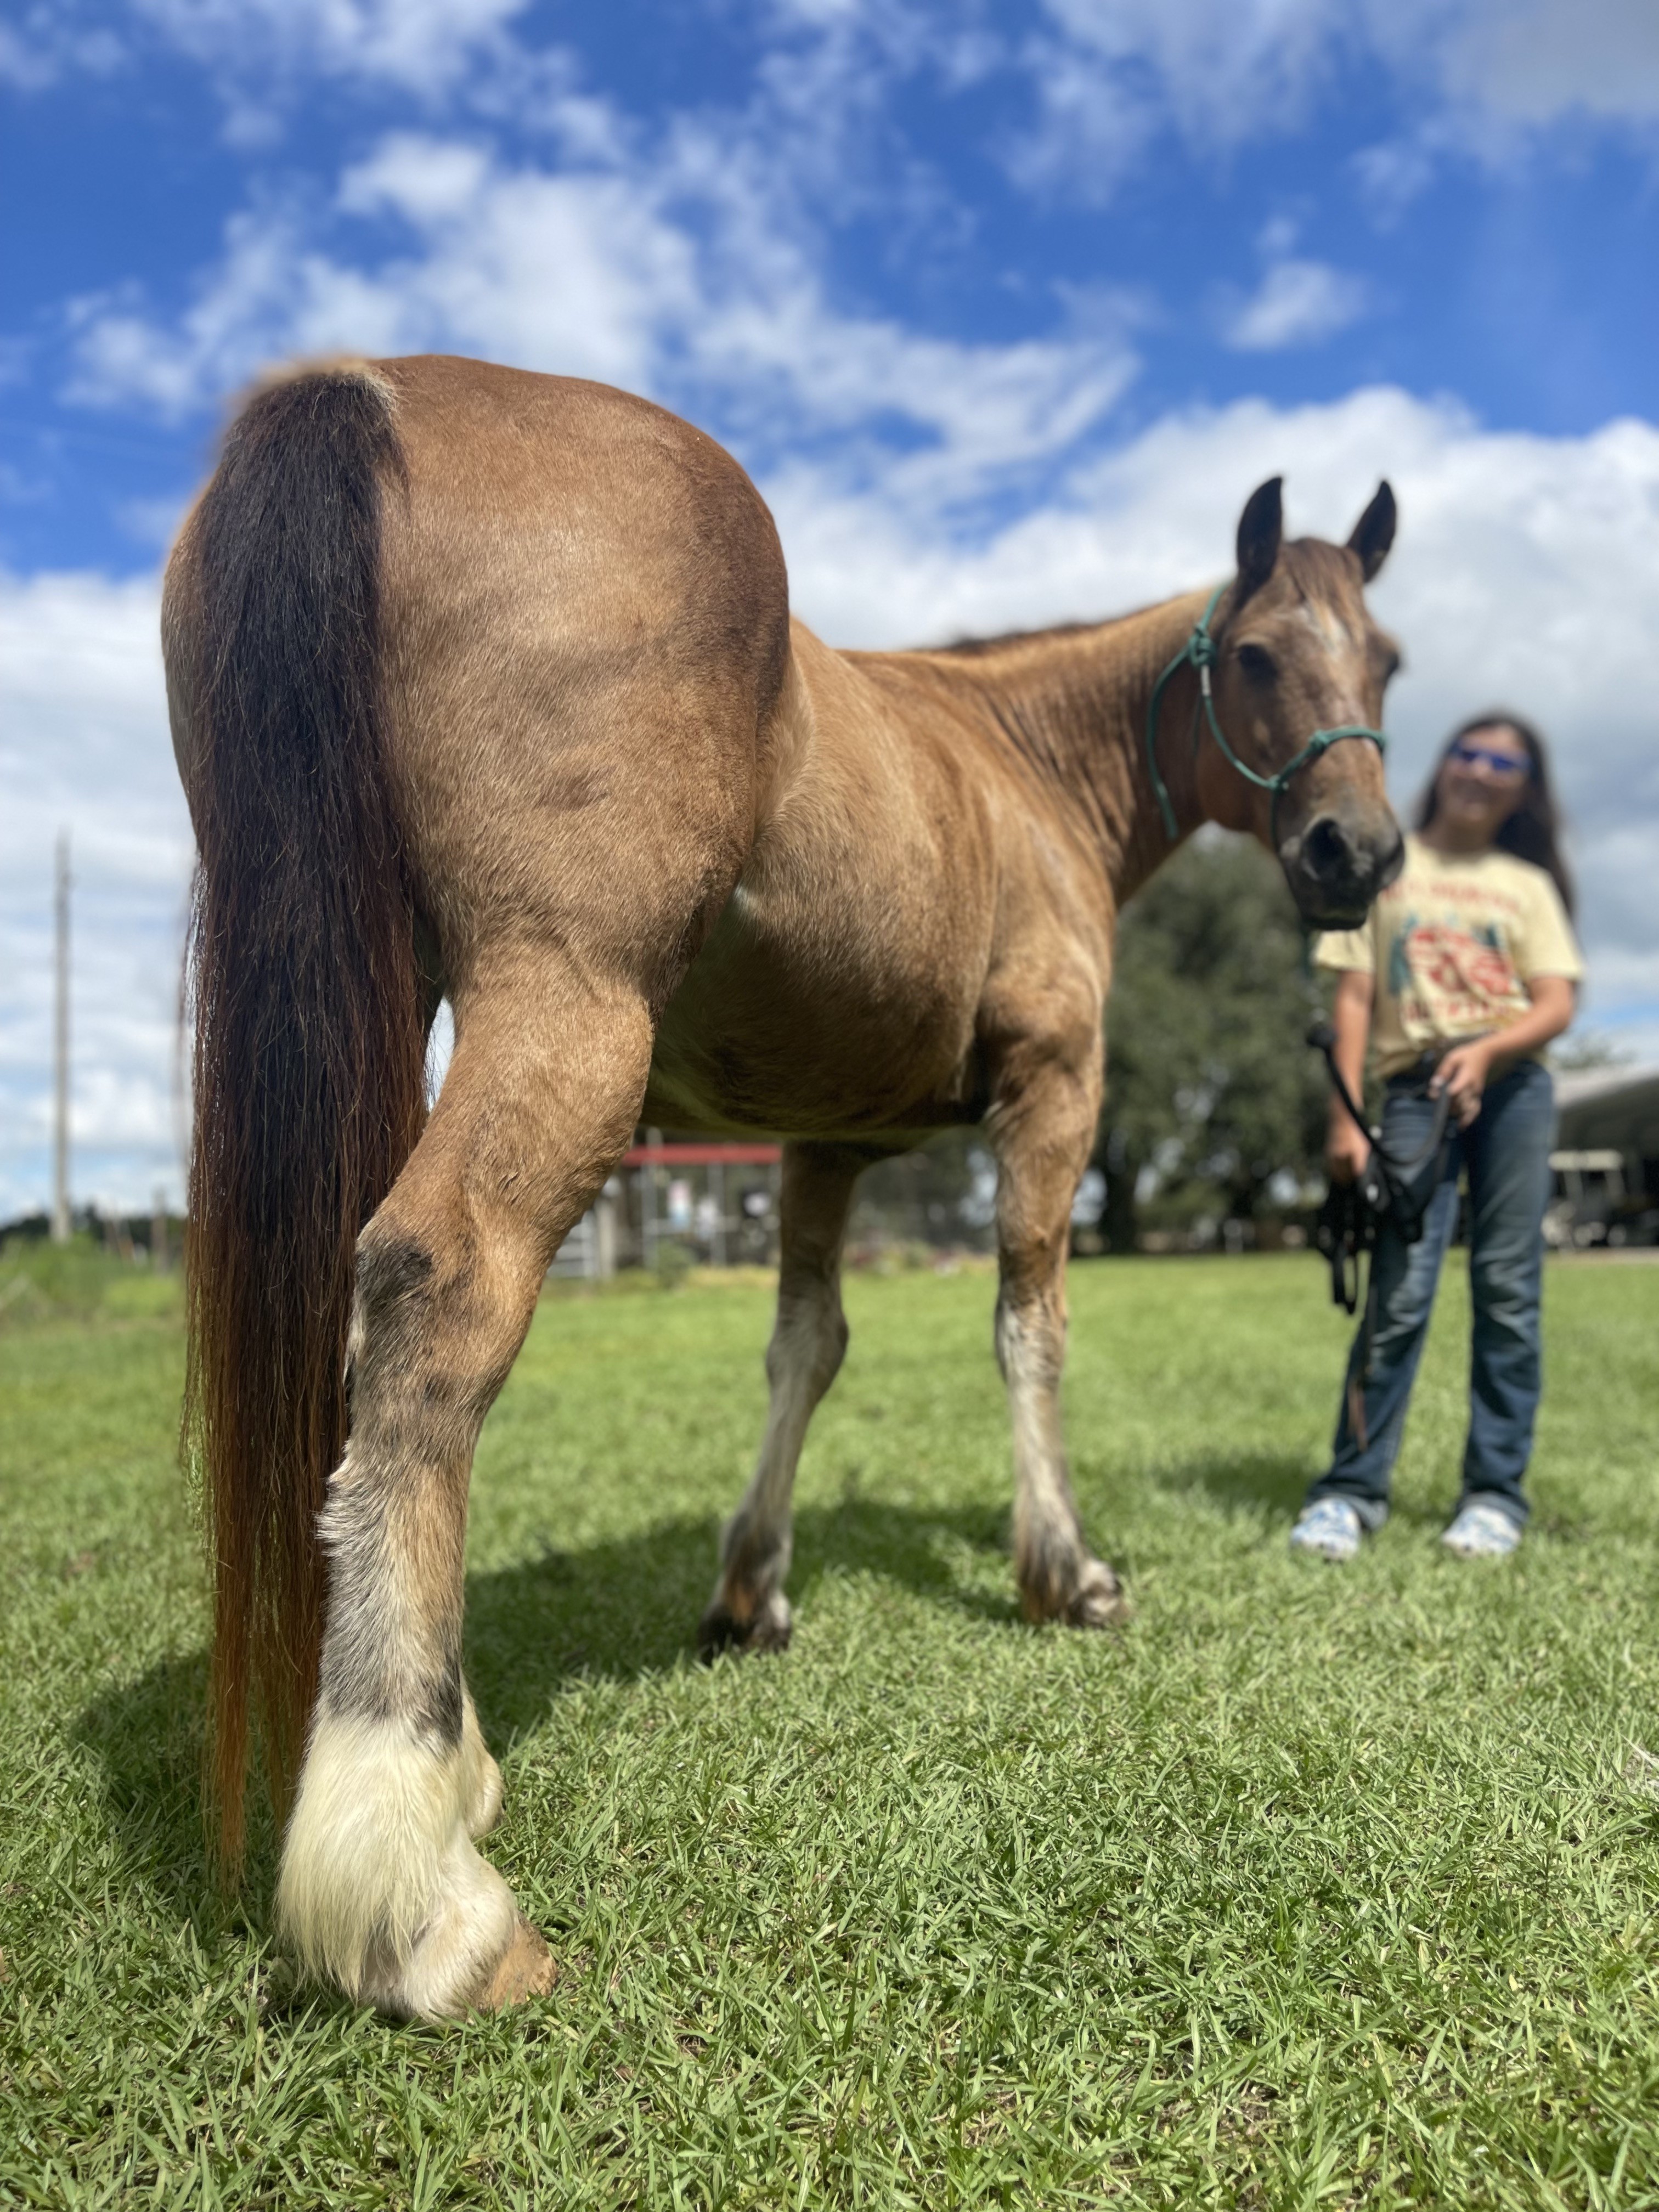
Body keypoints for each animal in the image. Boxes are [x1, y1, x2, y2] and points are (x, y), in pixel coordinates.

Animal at [163, 352, 1403, 2021]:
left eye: (1387, 660)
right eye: (1262, 656)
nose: (1359, 851)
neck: (1020, 762)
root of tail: (370, 386)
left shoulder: (823, 1143)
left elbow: (805, 1348)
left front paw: (751, 1592)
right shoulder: (1054, 1091)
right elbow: (1031, 1326)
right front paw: (1065, 1572)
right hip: (568, 996)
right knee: (434, 1292)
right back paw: (413, 1883)